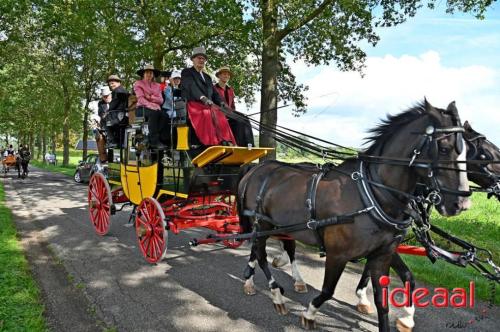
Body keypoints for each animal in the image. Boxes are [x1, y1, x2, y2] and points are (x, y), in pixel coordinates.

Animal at [237, 100, 468, 330]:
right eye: (444, 148)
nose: (462, 203)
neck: (371, 194)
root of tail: (256, 169)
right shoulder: (337, 254)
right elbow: (327, 291)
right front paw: (310, 313)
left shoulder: (381, 255)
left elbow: (383, 300)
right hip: (262, 225)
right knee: (261, 254)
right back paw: (275, 293)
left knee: (268, 249)